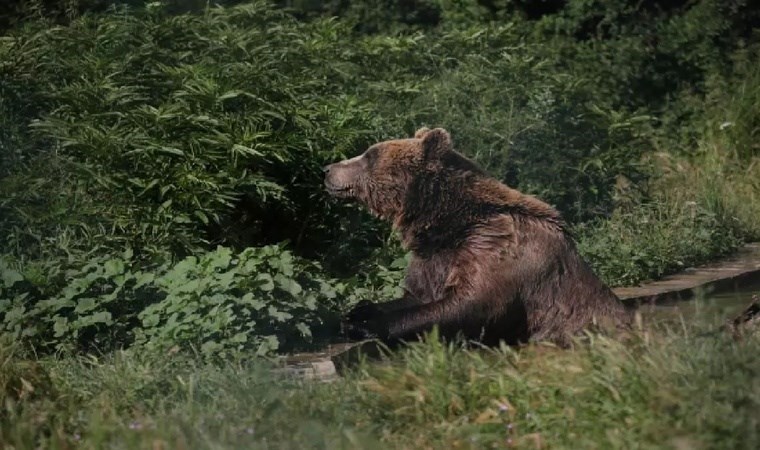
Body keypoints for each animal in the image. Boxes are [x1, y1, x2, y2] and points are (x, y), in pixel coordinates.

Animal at [324, 128, 632, 346]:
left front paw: (363, 325)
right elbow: (418, 294)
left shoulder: (494, 247)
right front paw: (358, 311)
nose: (327, 169)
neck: (446, 223)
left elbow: (469, 303)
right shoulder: (433, 258)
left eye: (369, 155)